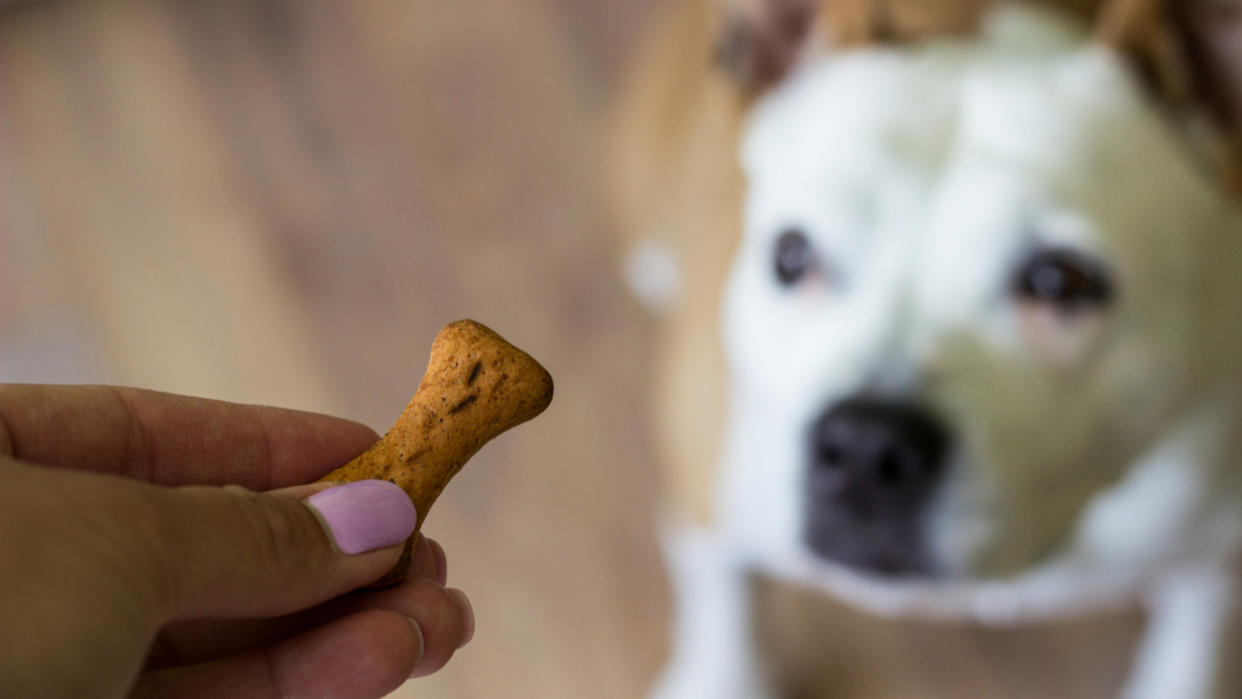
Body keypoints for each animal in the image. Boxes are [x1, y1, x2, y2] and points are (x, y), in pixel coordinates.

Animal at [630, 2, 1242, 695]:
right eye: (792, 257)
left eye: (1061, 282)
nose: (866, 445)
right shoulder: (704, 507)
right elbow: (725, 612)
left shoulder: (1214, 559)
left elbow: (1192, 653)